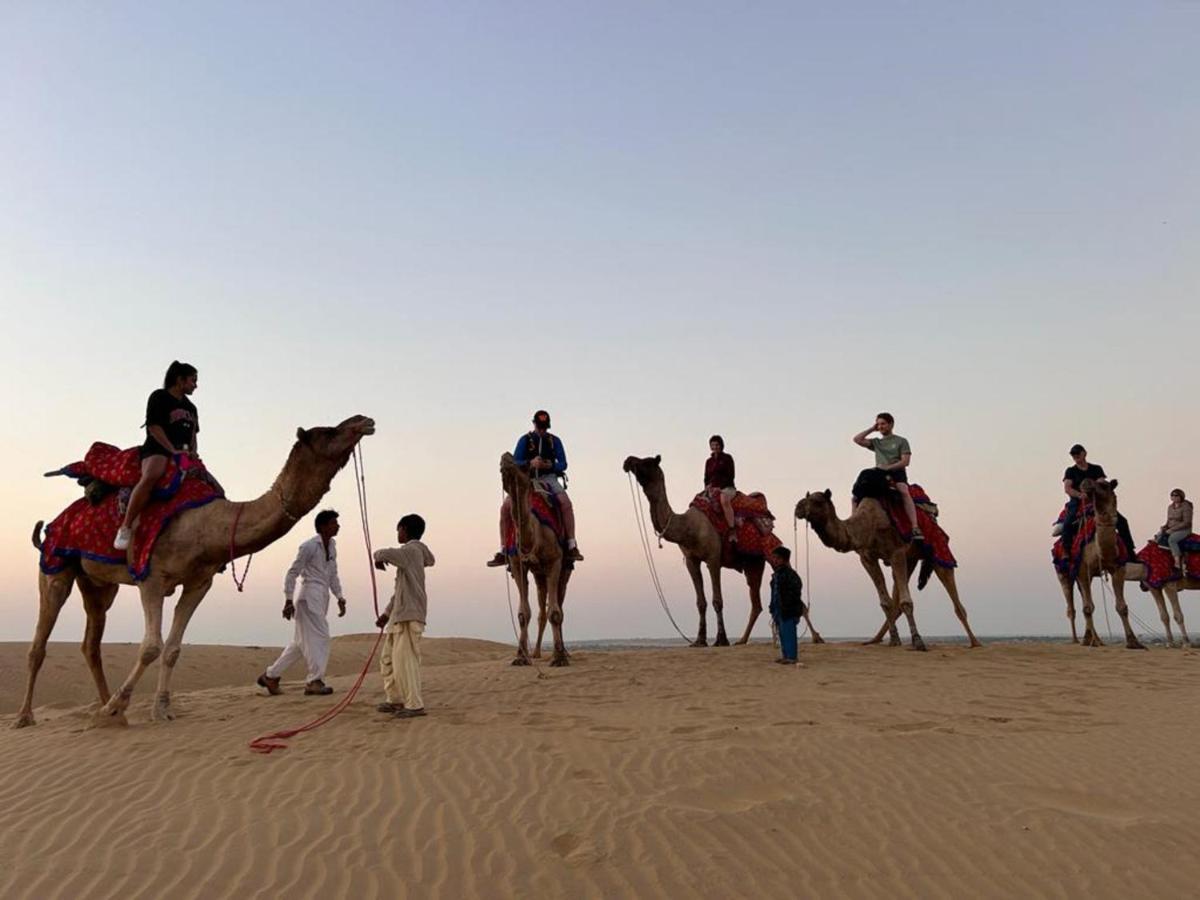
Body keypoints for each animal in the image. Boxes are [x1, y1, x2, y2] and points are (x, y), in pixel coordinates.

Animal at [15, 417, 374, 734]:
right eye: (328, 431)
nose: (364, 420)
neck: (208, 526)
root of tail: (53, 525)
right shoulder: (151, 578)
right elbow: (151, 646)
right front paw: (120, 705)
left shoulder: (199, 582)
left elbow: (173, 649)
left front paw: (159, 709)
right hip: (56, 565)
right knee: (39, 642)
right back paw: (27, 716)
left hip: (98, 584)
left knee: (91, 643)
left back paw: (106, 708)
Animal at [496, 453, 571, 667]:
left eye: (523, 466)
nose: (506, 456)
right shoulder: (517, 565)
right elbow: (523, 613)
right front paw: (521, 656)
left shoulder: (555, 562)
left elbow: (555, 613)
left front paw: (559, 657)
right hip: (539, 575)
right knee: (541, 611)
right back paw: (536, 653)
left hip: (564, 570)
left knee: (559, 606)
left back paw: (563, 651)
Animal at [619, 458, 825, 648]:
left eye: (647, 461)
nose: (628, 460)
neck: (689, 527)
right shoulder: (691, 560)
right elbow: (700, 602)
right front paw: (699, 640)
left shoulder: (713, 558)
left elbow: (717, 600)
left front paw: (721, 639)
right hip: (754, 564)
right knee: (756, 603)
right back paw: (741, 640)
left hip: (772, 550)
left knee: (794, 591)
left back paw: (817, 637)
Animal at [792, 489, 979, 652]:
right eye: (806, 497)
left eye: (817, 501)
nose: (798, 507)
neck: (869, 524)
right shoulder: (867, 558)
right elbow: (886, 602)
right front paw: (895, 640)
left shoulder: (896, 552)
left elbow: (906, 602)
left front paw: (917, 641)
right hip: (910, 558)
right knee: (897, 596)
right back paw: (875, 639)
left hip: (938, 550)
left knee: (954, 595)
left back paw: (975, 642)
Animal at [1051, 482, 1142, 652]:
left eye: (1104, 485)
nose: (1086, 484)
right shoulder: (1082, 570)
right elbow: (1088, 607)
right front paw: (1087, 640)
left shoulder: (1118, 569)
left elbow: (1122, 607)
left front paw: (1133, 642)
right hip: (1063, 573)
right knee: (1071, 607)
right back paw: (1076, 640)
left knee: (1083, 600)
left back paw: (1098, 639)